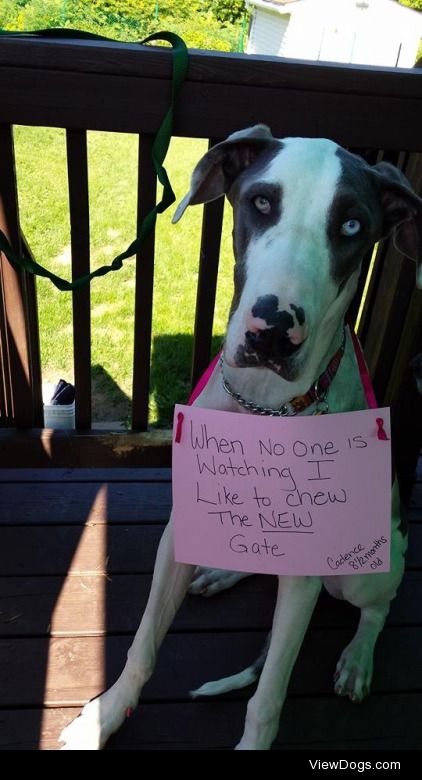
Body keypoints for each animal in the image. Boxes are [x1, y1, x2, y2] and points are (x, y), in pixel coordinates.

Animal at [61, 126, 420, 748]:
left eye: (352, 225)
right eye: (261, 202)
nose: (273, 331)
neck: (264, 406)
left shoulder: (304, 575)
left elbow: (268, 695)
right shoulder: (181, 529)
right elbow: (143, 644)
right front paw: (107, 713)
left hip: (361, 570)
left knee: (377, 607)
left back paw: (357, 659)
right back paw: (222, 573)